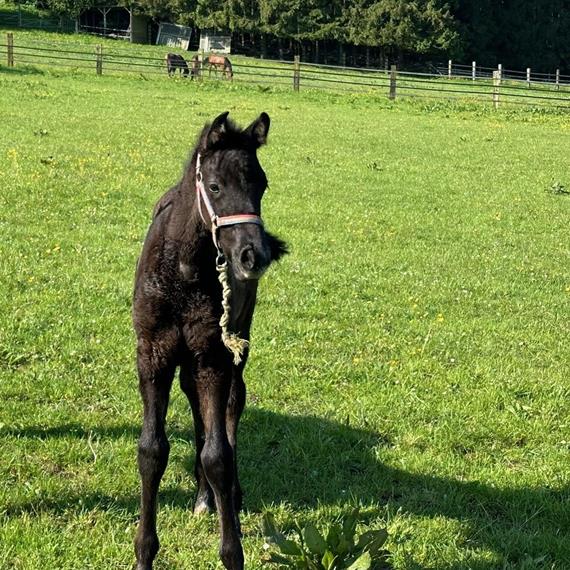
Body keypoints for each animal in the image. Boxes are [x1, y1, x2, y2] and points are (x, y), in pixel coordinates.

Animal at [131, 112, 286, 568]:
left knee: (232, 404)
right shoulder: (153, 355)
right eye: (215, 186)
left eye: (262, 184)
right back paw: (203, 497)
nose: (254, 256)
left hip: (234, 344)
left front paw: (232, 550)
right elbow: (151, 451)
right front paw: (144, 553)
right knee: (196, 404)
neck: (183, 272)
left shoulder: (213, 356)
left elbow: (218, 456)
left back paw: (225, 496)